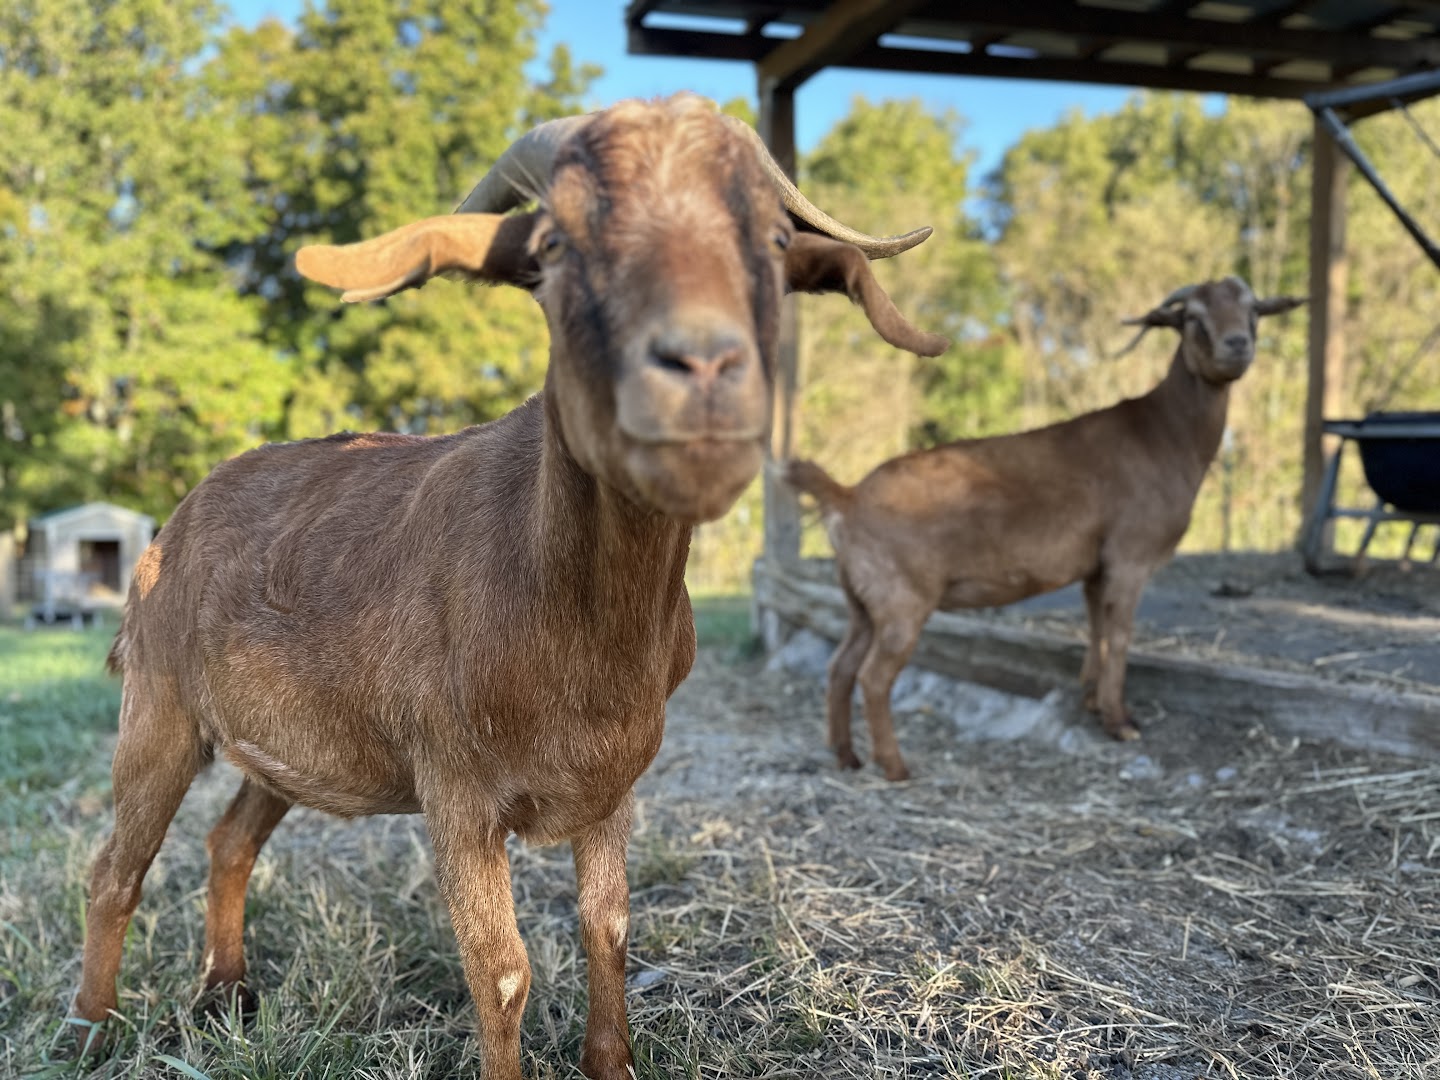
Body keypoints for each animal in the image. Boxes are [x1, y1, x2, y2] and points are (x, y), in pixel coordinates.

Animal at [69, 94, 948, 1079]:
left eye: (771, 238)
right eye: (555, 245)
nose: (701, 373)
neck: (574, 627)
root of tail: (175, 518)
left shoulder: (614, 782)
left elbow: (608, 929)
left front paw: (613, 1064)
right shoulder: (454, 787)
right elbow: (500, 970)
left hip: (286, 741)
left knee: (228, 842)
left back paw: (226, 993)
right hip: (160, 708)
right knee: (116, 871)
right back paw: (88, 1031)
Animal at [784, 277, 1303, 782]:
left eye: (1254, 311)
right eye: (1192, 317)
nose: (1237, 346)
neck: (1163, 435)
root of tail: (846, 497)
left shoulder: (1097, 566)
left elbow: (1097, 627)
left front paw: (1092, 701)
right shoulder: (1130, 555)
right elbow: (1121, 635)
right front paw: (1120, 722)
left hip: (861, 600)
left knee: (840, 666)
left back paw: (846, 757)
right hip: (902, 598)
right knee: (874, 677)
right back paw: (894, 767)